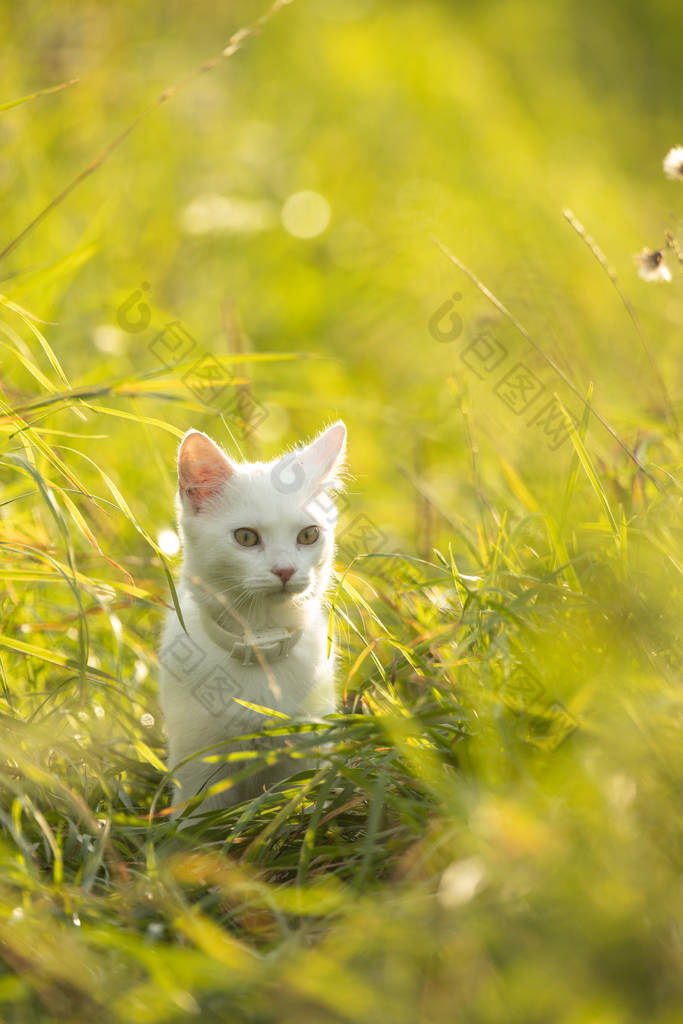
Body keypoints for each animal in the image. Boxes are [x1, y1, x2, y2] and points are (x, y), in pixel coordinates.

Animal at [156, 421, 344, 815]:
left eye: (309, 535)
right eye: (245, 537)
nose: (285, 570)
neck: (261, 639)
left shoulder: (306, 753)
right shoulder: (198, 767)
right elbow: (192, 822)